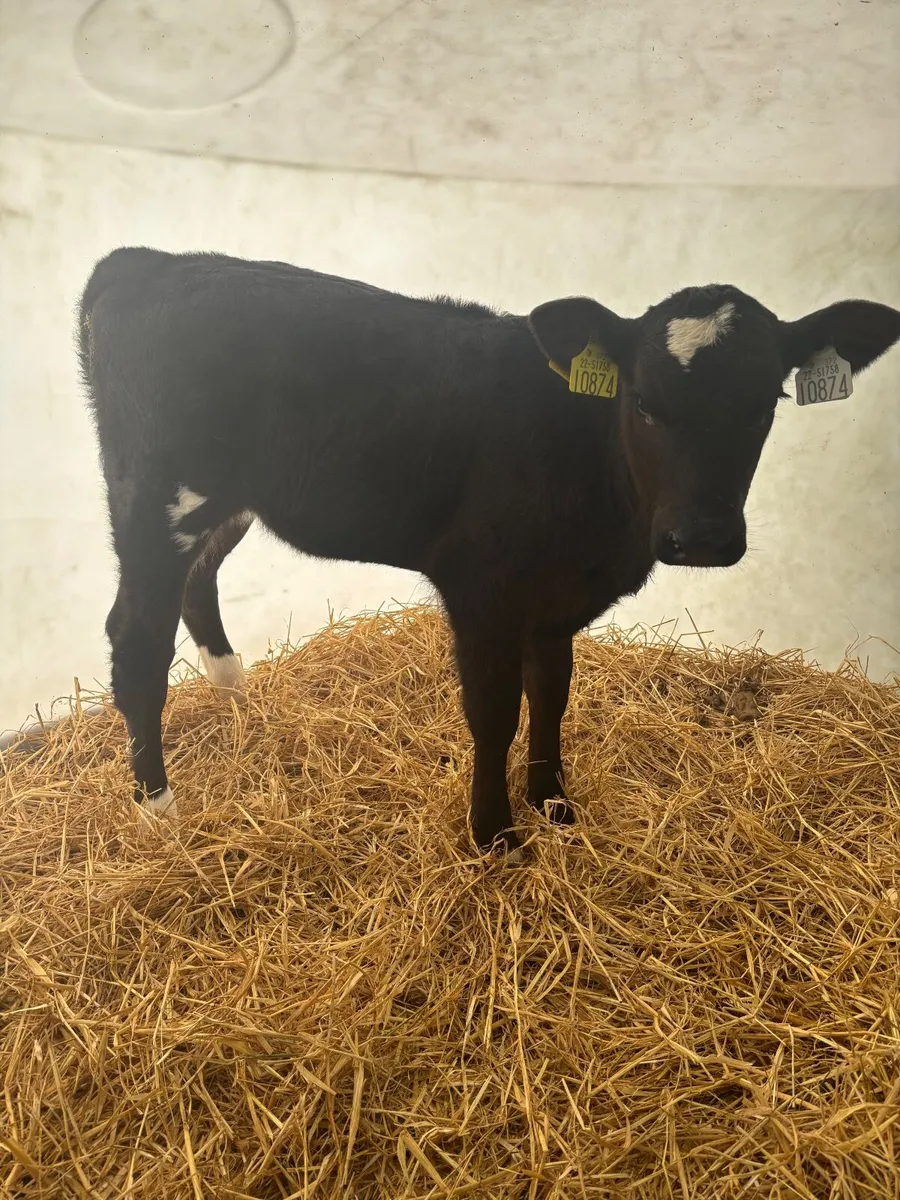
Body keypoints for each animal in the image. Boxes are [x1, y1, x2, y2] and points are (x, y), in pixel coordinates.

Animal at [79, 247, 900, 860]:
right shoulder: (482, 588)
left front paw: (553, 803)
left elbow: (552, 696)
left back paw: (238, 695)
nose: (699, 536)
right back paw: (158, 806)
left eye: (767, 405)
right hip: (153, 497)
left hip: (221, 503)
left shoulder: (555, 602)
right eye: (641, 401)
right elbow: (495, 711)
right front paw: (495, 833)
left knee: (198, 584)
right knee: (135, 637)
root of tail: (145, 262)